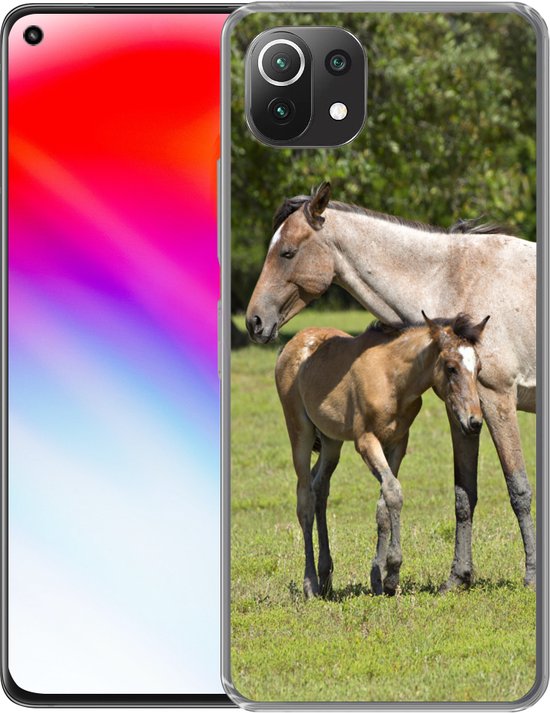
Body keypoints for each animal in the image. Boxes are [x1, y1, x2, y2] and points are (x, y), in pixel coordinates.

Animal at [275, 312, 489, 598]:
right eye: (451, 367)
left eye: (479, 369)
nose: (474, 422)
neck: (393, 380)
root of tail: (292, 343)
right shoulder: (366, 441)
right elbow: (394, 492)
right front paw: (393, 572)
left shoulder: (398, 442)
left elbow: (383, 505)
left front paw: (379, 579)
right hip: (300, 430)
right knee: (305, 498)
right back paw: (310, 583)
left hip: (332, 442)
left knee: (320, 488)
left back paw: (326, 576)